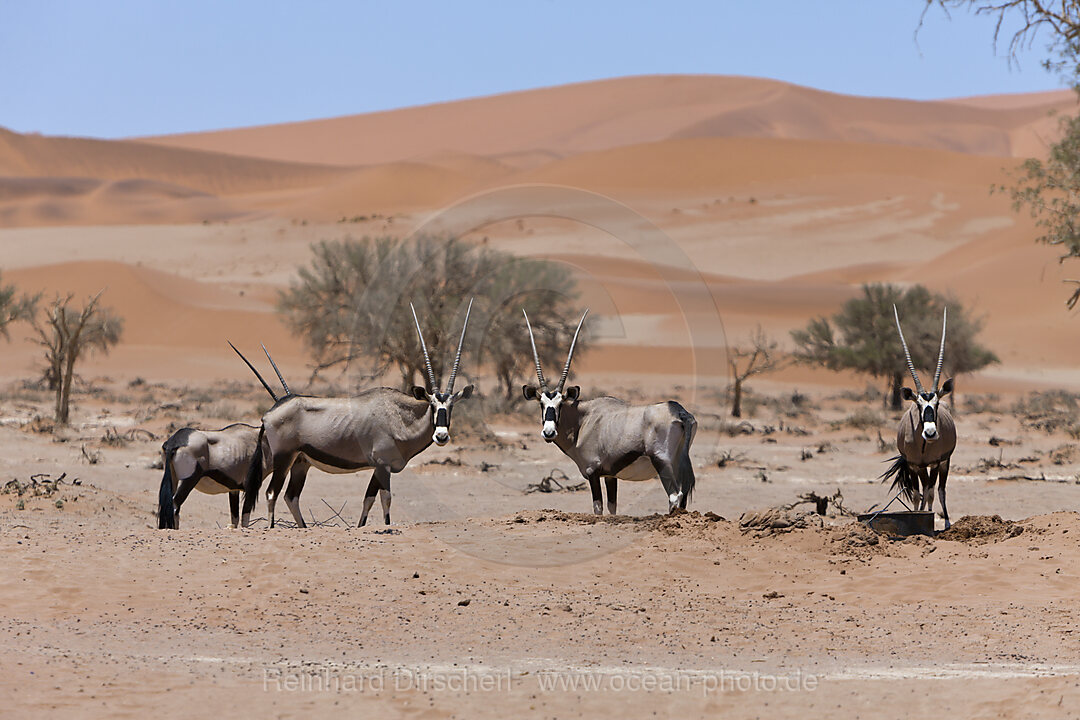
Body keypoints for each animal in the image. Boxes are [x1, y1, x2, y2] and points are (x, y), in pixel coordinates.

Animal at [245, 302, 477, 526]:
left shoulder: (379, 467)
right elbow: (385, 498)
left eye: (451, 405)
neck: (399, 416)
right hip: (284, 459)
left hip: (301, 462)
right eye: (432, 404)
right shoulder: (383, 465)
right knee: (272, 493)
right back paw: (271, 527)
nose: (441, 436)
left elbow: (369, 499)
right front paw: (385, 527)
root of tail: (268, 415)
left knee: (291, 497)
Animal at [522, 308, 699, 511]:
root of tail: (679, 412)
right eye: (541, 404)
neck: (582, 420)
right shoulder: (610, 475)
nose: (549, 432)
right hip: (678, 463)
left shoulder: (592, 472)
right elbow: (612, 507)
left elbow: (598, 508)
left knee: (674, 496)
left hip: (662, 462)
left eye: (560, 404)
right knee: (682, 497)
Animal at [881, 304, 959, 528]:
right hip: (921, 468)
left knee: (939, 490)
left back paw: (946, 522)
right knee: (923, 490)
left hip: (943, 463)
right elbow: (917, 495)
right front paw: (918, 516)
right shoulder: (913, 464)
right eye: (918, 405)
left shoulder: (937, 462)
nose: (930, 433)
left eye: (937, 403)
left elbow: (932, 493)